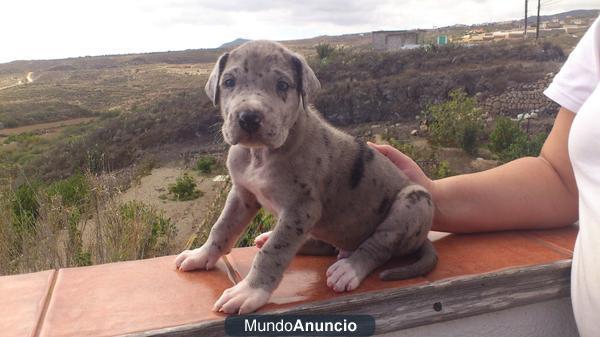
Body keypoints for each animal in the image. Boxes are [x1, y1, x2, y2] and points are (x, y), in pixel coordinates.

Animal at [175, 40, 436, 314]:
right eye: (228, 82)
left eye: (282, 85)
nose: (249, 118)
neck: (260, 154)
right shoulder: (242, 195)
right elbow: (222, 227)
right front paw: (202, 255)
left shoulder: (301, 208)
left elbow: (274, 251)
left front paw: (250, 291)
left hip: (415, 200)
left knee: (379, 245)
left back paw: (350, 268)